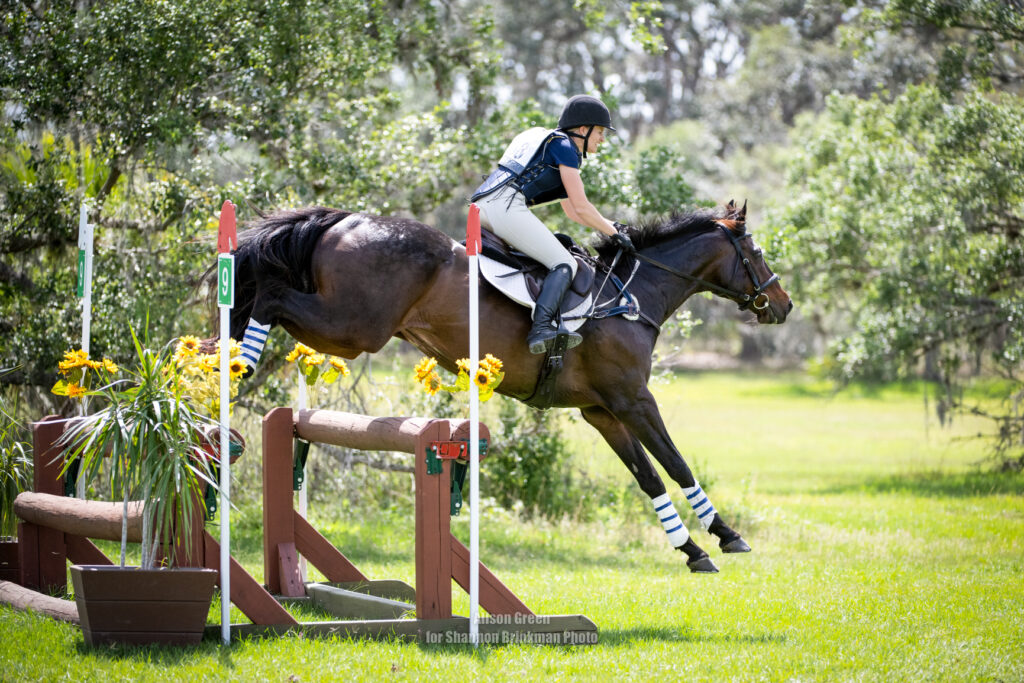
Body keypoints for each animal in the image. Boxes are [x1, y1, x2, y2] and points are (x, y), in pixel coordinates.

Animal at [210, 201, 792, 572]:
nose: (783, 305)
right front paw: (727, 535)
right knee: (270, 297)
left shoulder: (603, 411)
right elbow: (676, 464)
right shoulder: (634, 400)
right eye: (757, 253)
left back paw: (226, 366)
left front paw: (692, 551)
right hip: (354, 327)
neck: (631, 295)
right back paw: (237, 366)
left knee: (266, 296)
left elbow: (648, 478)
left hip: (344, 327)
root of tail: (345, 220)